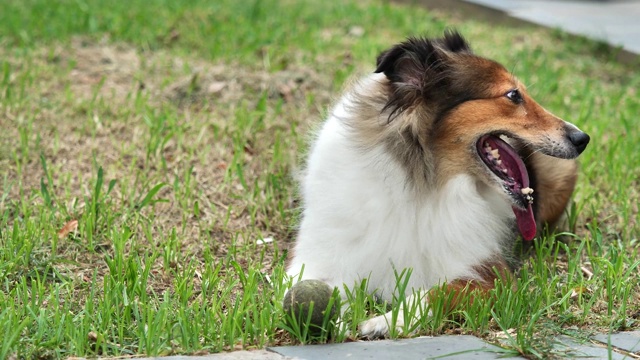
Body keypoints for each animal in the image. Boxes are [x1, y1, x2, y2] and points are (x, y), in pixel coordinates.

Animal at [286, 30, 592, 338]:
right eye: (513, 95)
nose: (582, 139)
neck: (422, 185)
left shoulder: (493, 277)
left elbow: (439, 292)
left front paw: (385, 320)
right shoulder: (315, 259)